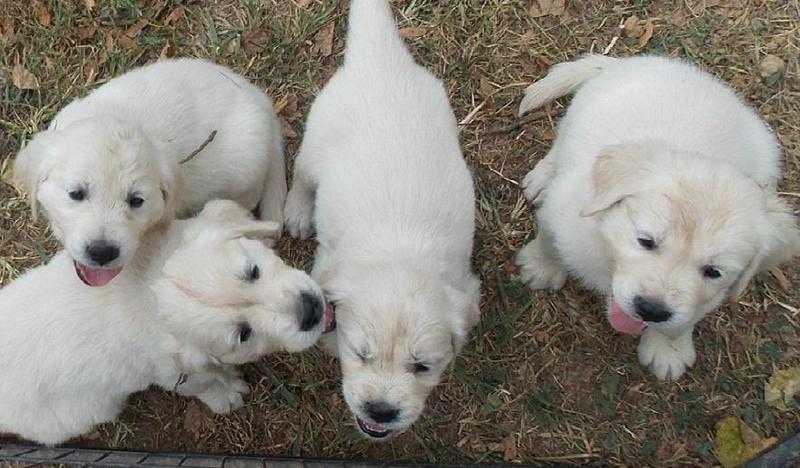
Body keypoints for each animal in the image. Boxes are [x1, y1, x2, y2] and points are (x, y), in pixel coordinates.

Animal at [0, 199, 332, 444]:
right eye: (244, 334)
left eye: (253, 271)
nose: (311, 311)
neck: (152, 286)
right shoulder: (173, 373)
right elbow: (205, 382)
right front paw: (226, 393)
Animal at [282, 0, 482, 438]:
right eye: (361, 354)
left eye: (422, 367)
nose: (381, 411)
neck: (401, 253)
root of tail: (381, 60)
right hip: (317, 137)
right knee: (302, 176)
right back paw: (298, 211)